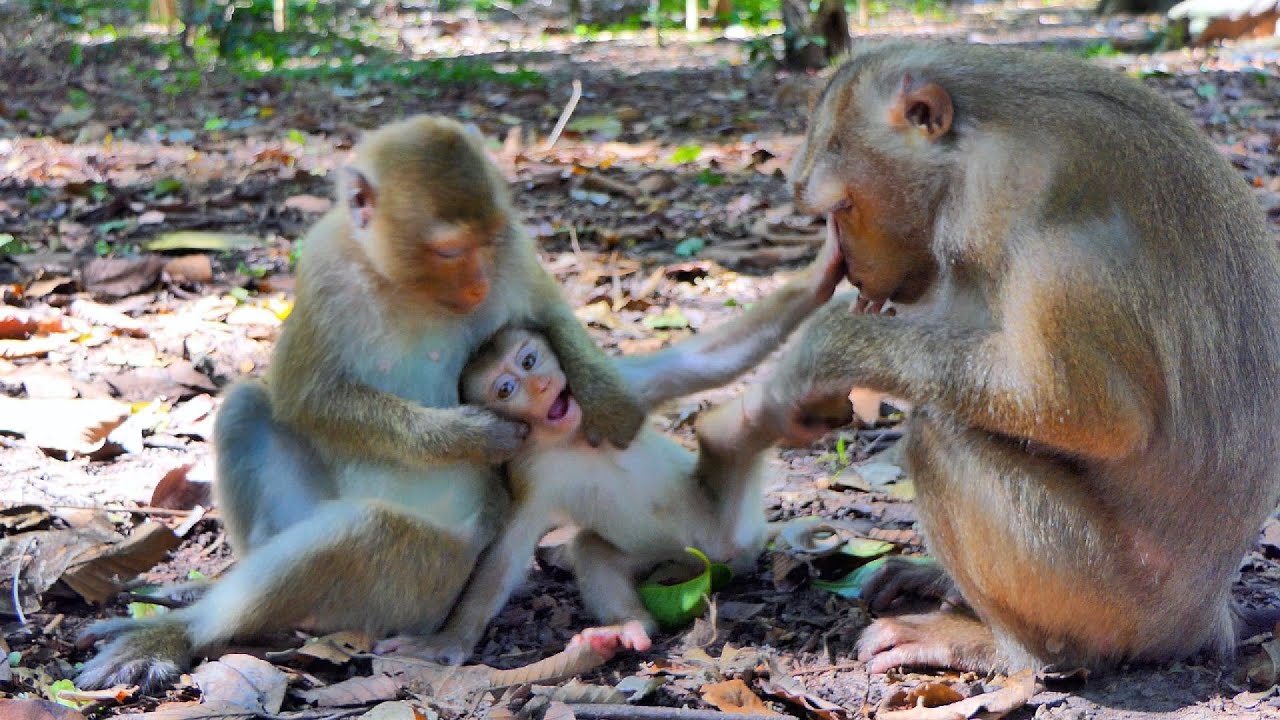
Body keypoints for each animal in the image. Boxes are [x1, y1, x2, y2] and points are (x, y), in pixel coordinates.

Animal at [76, 115, 646, 692]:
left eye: (486, 242)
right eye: (449, 251)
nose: (479, 284)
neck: (397, 282)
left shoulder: (511, 253)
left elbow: (546, 317)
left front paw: (608, 403)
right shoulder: (325, 260)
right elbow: (303, 395)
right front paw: (468, 436)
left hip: (416, 586)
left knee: (359, 531)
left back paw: (183, 631)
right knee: (247, 408)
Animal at [377, 227, 850, 664]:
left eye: (530, 360)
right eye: (507, 388)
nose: (543, 385)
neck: (571, 437)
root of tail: (729, 551)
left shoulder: (614, 388)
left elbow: (706, 362)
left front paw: (821, 275)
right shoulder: (526, 469)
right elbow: (506, 554)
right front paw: (448, 642)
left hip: (729, 520)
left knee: (725, 435)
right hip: (673, 559)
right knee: (594, 550)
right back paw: (629, 627)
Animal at [751, 41, 1280, 678]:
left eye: (845, 205)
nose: (850, 270)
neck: (981, 155)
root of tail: (1208, 616)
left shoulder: (1058, 254)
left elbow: (1085, 412)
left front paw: (825, 349)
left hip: (1117, 595)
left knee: (940, 435)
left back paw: (1010, 649)